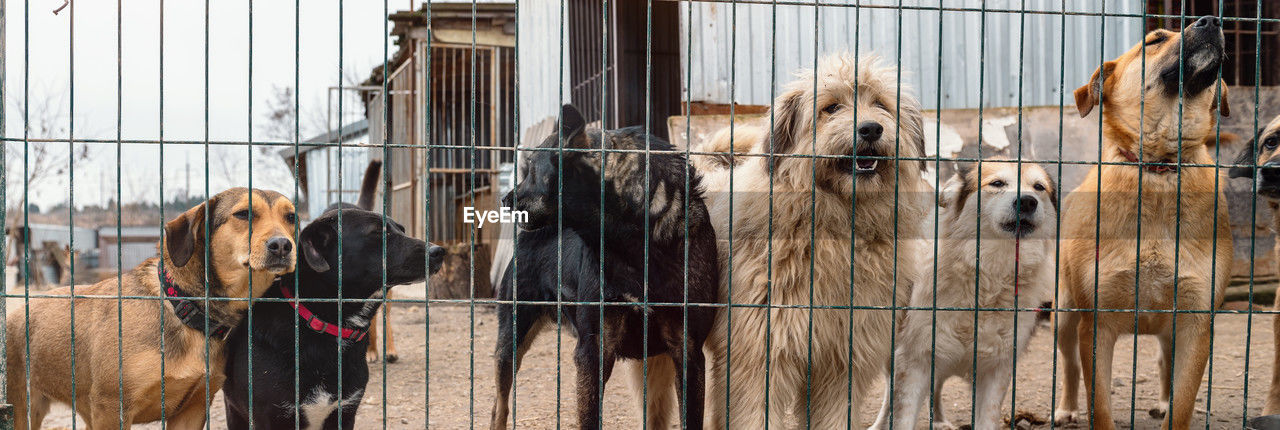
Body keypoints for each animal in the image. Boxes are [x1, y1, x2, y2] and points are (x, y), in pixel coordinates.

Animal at [486, 104, 716, 430]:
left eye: (532, 171)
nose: (505, 200)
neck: (634, 246)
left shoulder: (689, 351)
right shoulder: (593, 350)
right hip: (511, 339)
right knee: (500, 405)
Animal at [870, 158, 1059, 430]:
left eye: (1039, 187)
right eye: (997, 184)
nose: (1027, 201)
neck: (987, 275)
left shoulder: (996, 369)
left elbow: (986, 419)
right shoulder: (913, 359)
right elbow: (901, 413)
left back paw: (939, 421)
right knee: (890, 393)